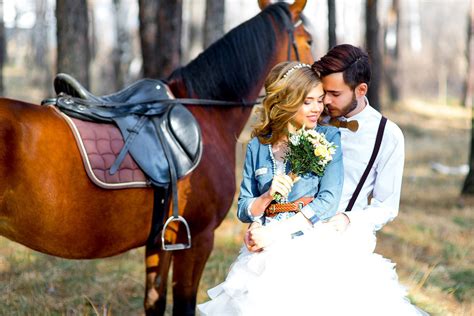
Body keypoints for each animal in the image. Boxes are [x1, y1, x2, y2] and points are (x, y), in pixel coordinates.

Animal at [0, 0, 314, 314]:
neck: (208, 111)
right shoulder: (198, 238)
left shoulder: (160, 241)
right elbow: (184, 303)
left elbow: (154, 299)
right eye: (309, 40)